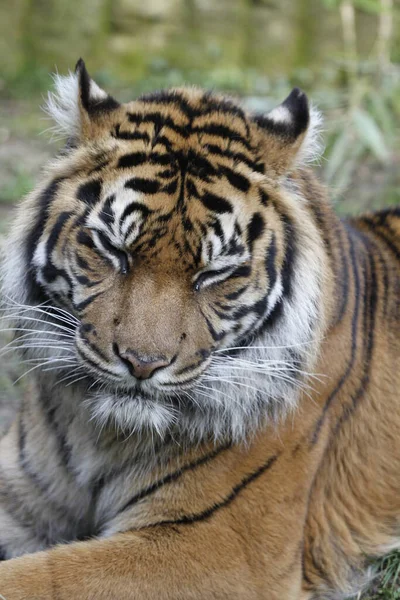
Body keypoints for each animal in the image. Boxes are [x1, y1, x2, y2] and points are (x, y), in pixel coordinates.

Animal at [0, 57, 398, 600]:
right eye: (114, 250)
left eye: (214, 273)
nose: (142, 363)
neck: (97, 434)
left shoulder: (217, 544)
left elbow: (41, 578)